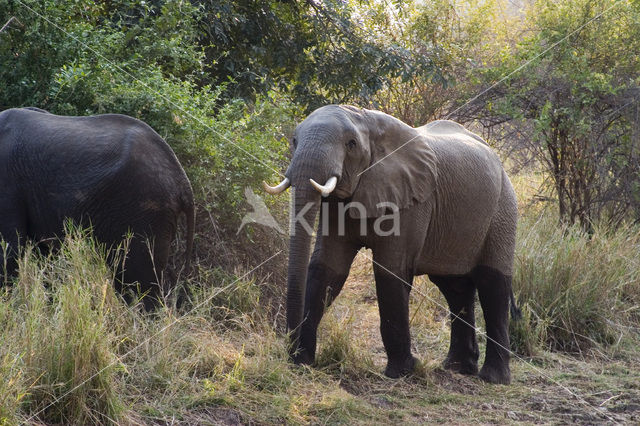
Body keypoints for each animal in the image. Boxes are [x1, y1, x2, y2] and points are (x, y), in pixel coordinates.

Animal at [264, 105, 520, 384]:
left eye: (351, 144)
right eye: (294, 140)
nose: (290, 354)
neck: (367, 120)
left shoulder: (413, 201)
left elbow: (390, 271)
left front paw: (402, 371)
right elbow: (327, 268)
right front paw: (303, 361)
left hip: (503, 208)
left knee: (492, 285)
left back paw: (493, 378)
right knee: (454, 287)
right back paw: (457, 367)